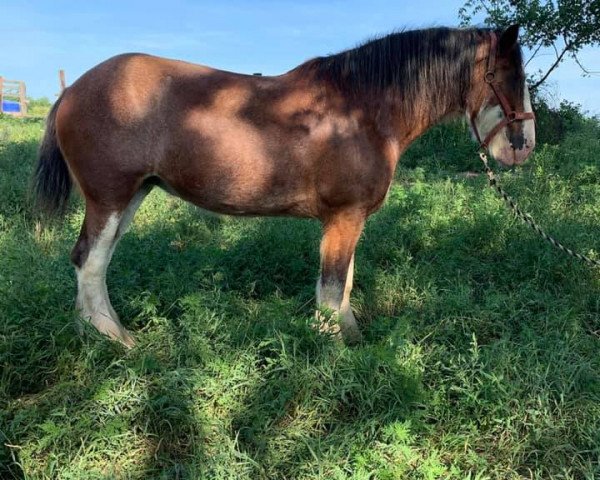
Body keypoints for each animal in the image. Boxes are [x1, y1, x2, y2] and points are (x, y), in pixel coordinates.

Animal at [35, 25, 536, 344]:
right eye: (511, 75)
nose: (524, 145)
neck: (363, 109)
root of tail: (73, 89)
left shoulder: (346, 221)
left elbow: (342, 286)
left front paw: (348, 337)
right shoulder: (344, 216)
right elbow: (331, 289)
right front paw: (335, 350)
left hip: (132, 196)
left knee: (92, 261)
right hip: (110, 197)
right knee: (89, 262)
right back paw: (115, 339)